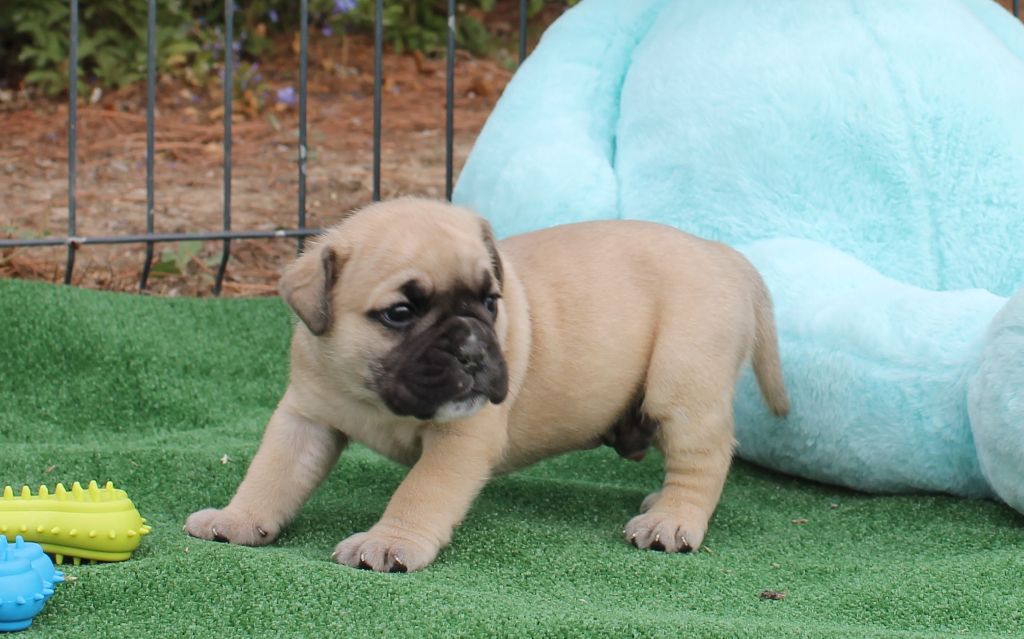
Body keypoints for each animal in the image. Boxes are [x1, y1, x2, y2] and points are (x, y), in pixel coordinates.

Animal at [185, 198, 789, 572]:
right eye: (400, 313)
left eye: (490, 302)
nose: (474, 350)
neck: (378, 396)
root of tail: (725, 255)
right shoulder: (306, 417)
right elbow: (273, 473)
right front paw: (238, 519)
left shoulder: (460, 439)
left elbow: (420, 492)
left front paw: (389, 542)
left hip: (682, 386)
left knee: (703, 458)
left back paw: (673, 519)